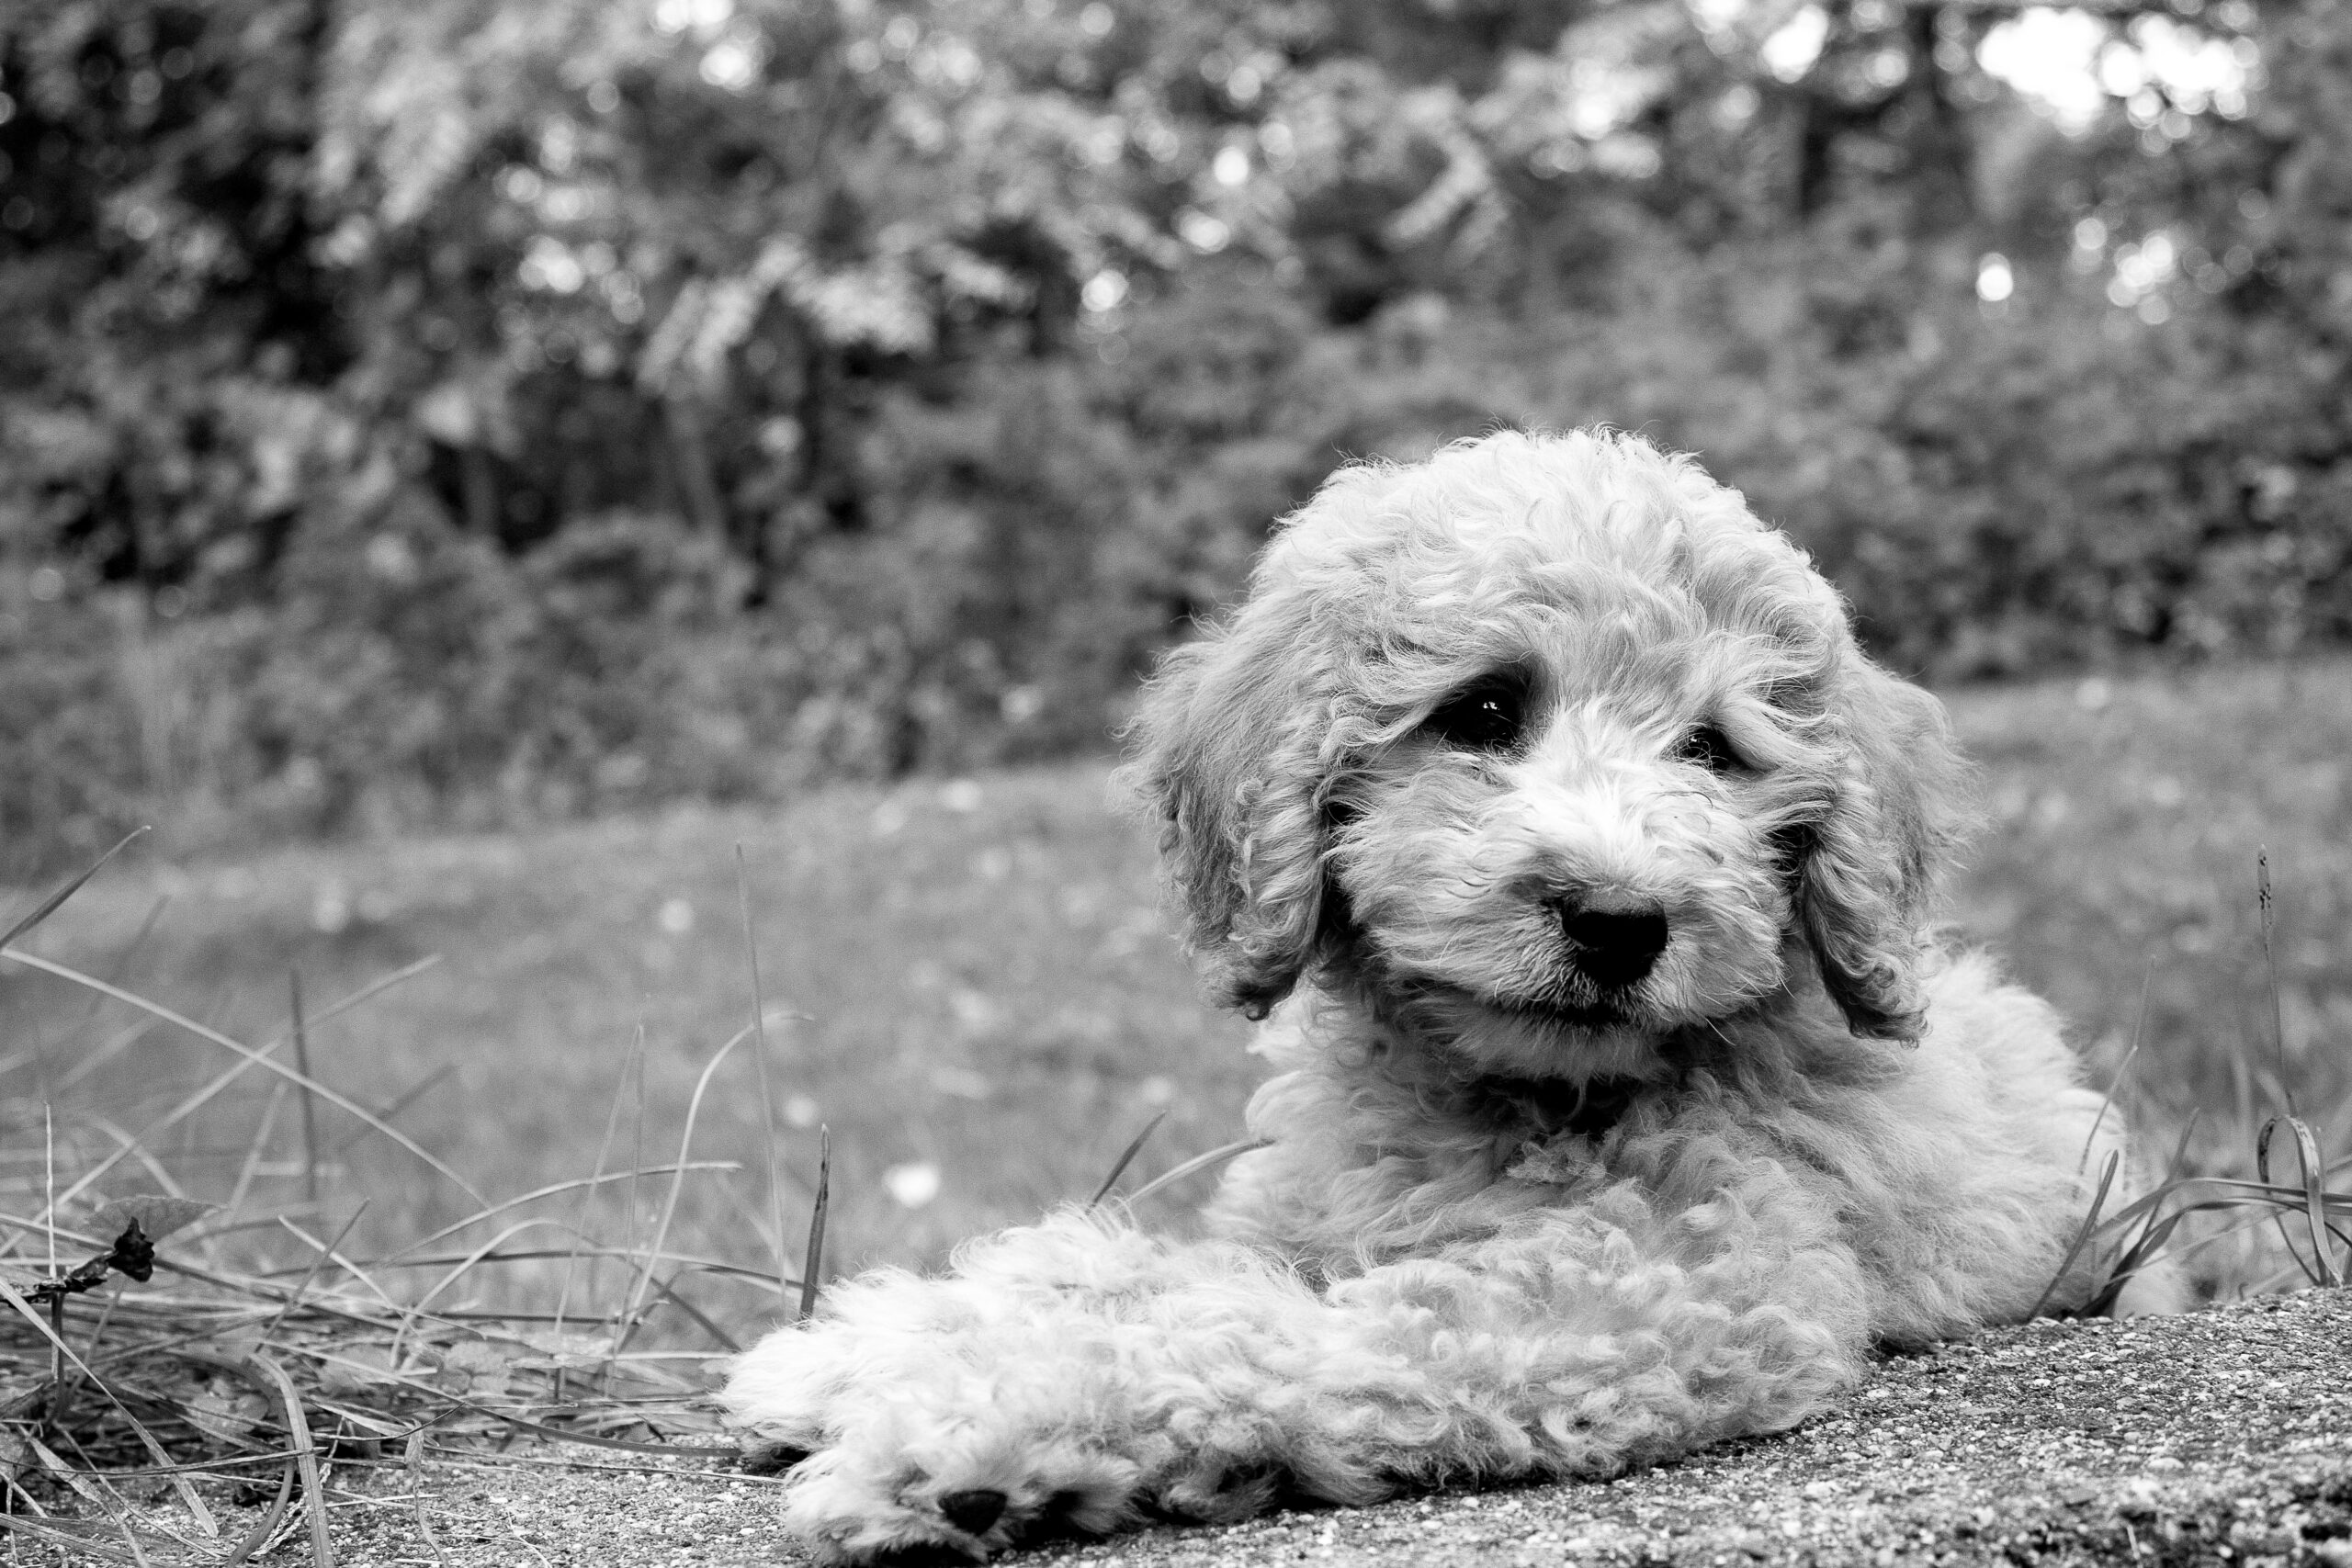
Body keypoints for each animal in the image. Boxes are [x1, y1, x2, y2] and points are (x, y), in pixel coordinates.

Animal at [719, 432, 2164, 1568]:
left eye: (1714, 750)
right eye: (1480, 711)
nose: (1618, 920)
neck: (1506, 1094)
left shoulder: (1679, 1288)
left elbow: (1268, 1333)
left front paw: (972, 1431)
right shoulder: (1312, 1209)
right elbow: (1135, 1259)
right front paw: (862, 1346)